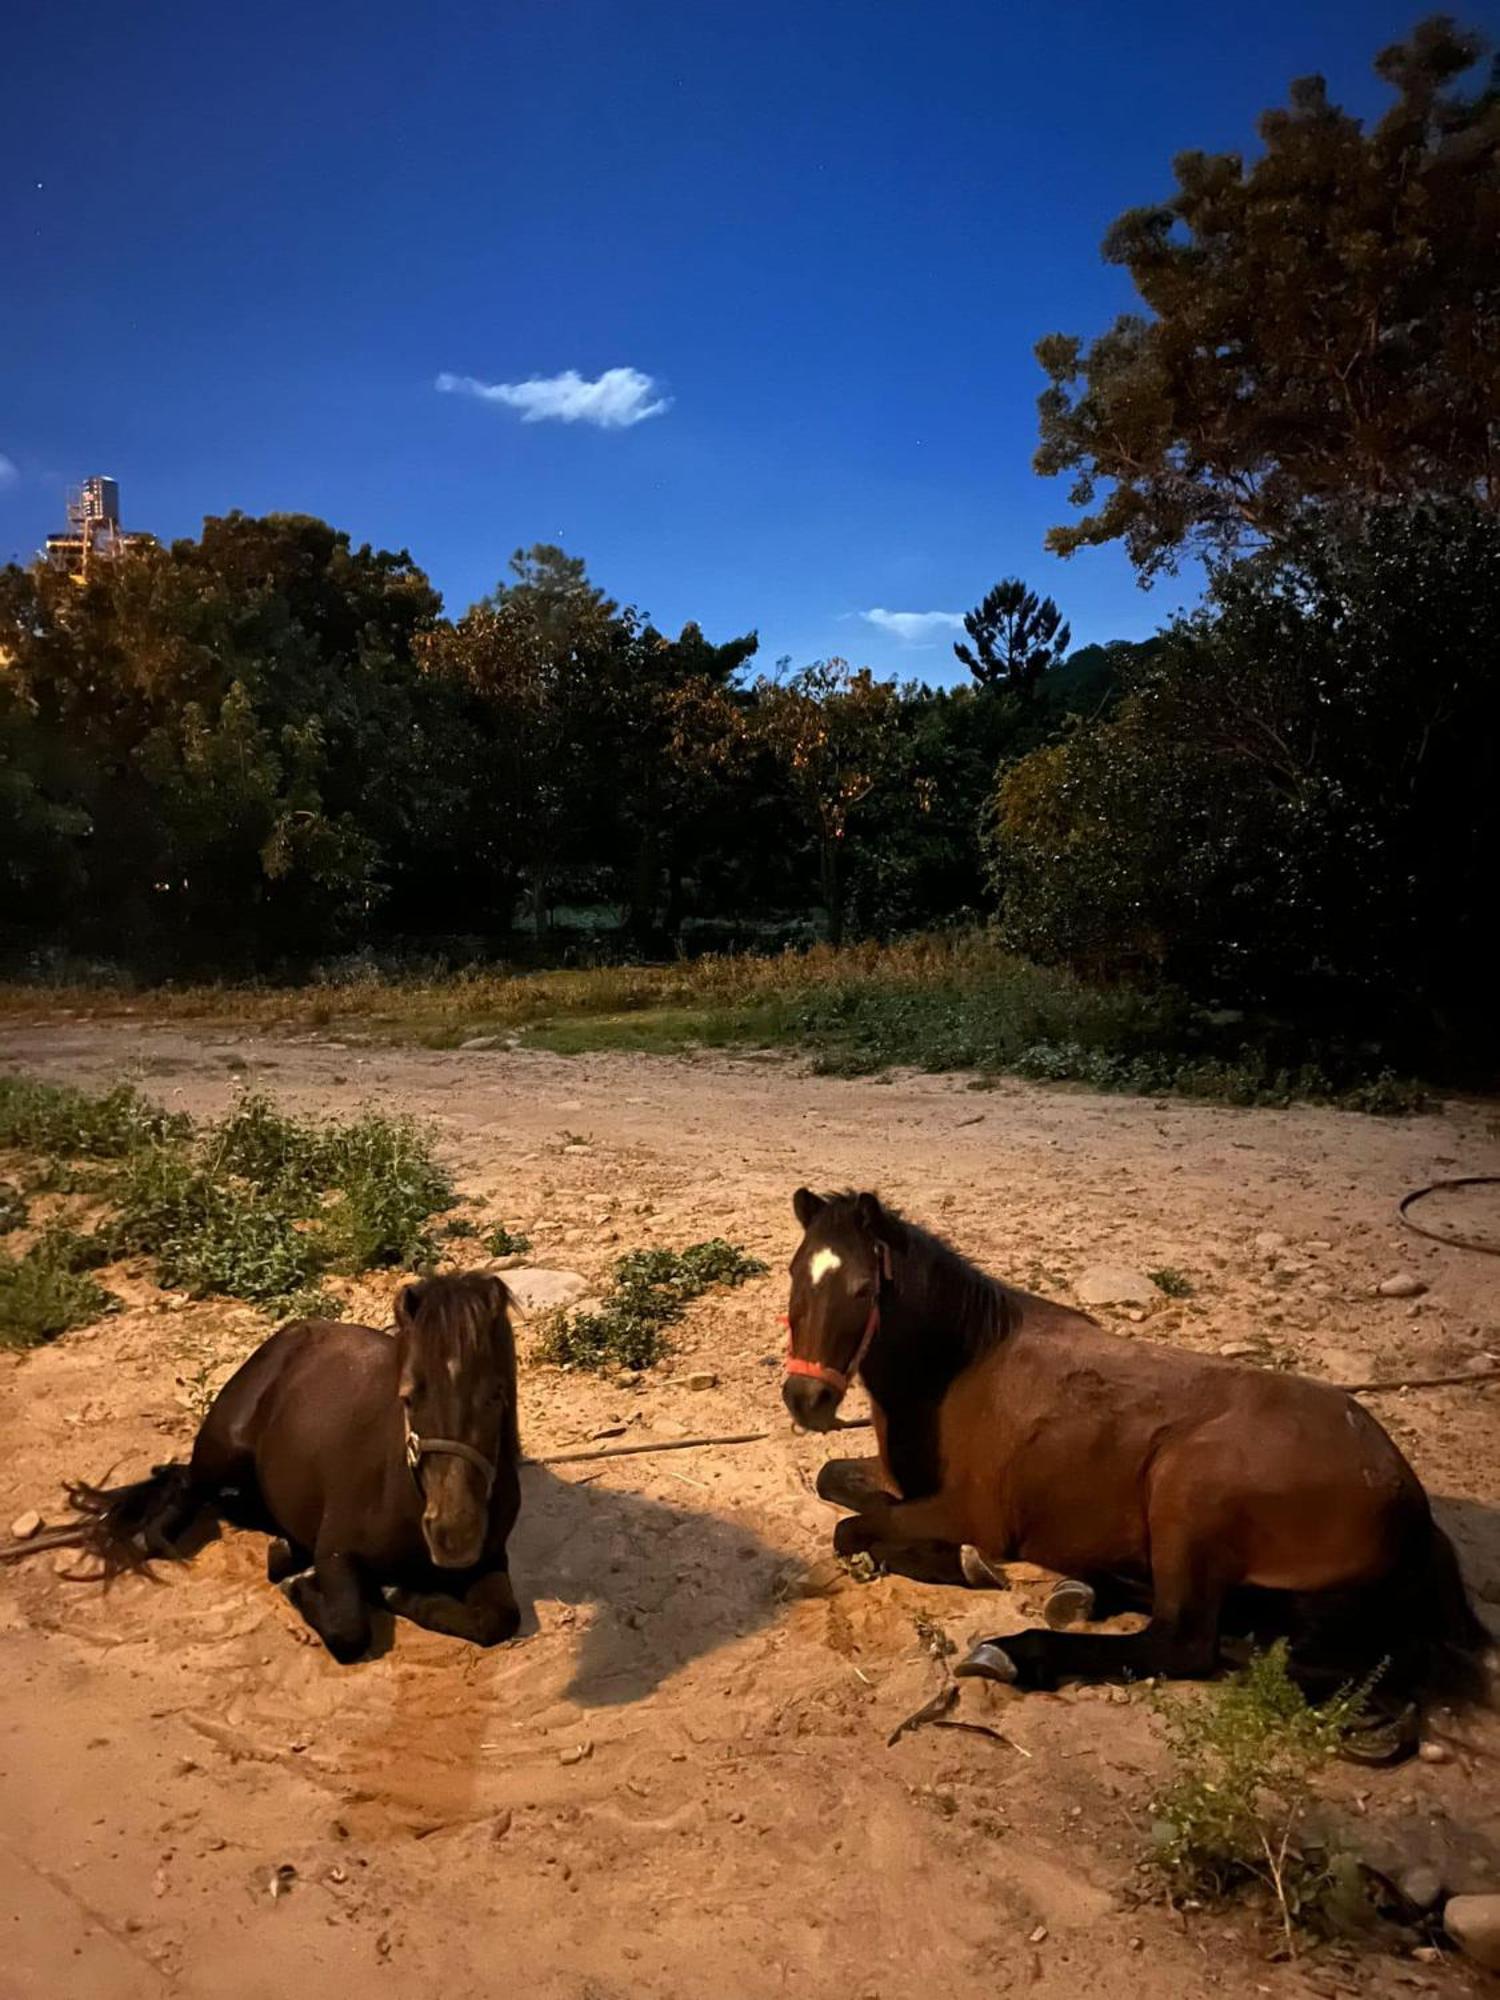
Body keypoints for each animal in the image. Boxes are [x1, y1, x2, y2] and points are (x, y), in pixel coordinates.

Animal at [60, 1272, 524, 1664]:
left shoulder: (491, 1561)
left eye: (497, 1395)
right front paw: (305, 1584)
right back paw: (156, 1534)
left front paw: (398, 1592)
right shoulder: (335, 1551)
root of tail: (290, 1334)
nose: (454, 1534)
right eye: (408, 1397)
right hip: (224, 1451)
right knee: (189, 1482)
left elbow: (497, 1620)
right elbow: (349, 1630)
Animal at [788, 1184, 1496, 1736]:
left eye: (862, 1289)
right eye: (796, 1276)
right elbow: (833, 1482)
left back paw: (1019, 1651)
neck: (961, 1367)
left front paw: (970, 1565)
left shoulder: (969, 1513)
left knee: (1183, 1641)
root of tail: (1407, 1497)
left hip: (1187, 1491)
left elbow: (854, 1531)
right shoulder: (900, 1482)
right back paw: (1086, 1590)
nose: (805, 1398)